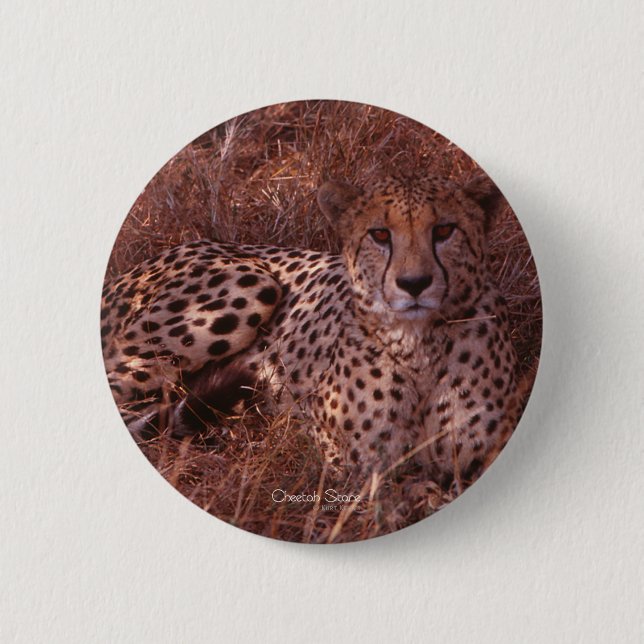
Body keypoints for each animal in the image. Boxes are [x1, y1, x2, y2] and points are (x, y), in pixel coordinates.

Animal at [101, 172, 525, 489]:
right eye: (380, 235)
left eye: (444, 230)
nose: (414, 283)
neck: (418, 345)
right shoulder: (347, 460)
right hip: (250, 285)